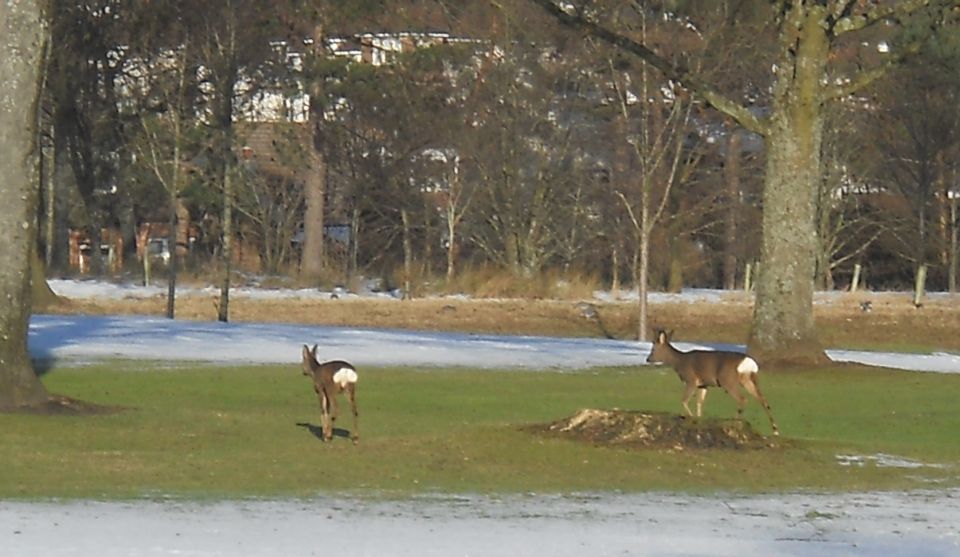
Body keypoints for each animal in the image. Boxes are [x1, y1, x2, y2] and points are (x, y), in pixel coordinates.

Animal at [644, 330, 780, 434]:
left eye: (653, 349)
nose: (647, 359)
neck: (679, 362)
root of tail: (748, 362)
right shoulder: (703, 385)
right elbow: (699, 402)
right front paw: (698, 419)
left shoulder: (691, 380)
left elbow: (684, 400)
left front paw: (691, 418)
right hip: (749, 379)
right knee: (763, 400)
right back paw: (775, 430)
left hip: (728, 381)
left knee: (742, 399)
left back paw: (735, 423)